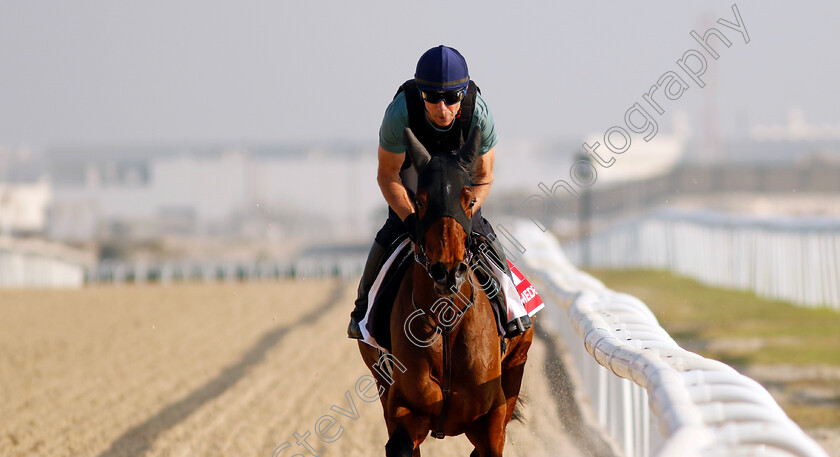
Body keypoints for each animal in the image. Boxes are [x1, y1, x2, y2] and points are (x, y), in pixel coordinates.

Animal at [358, 125, 536, 456]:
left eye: (468, 200)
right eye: (421, 201)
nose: (448, 270)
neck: (447, 320)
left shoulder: (491, 418)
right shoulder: (403, 408)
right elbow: (401, 440)